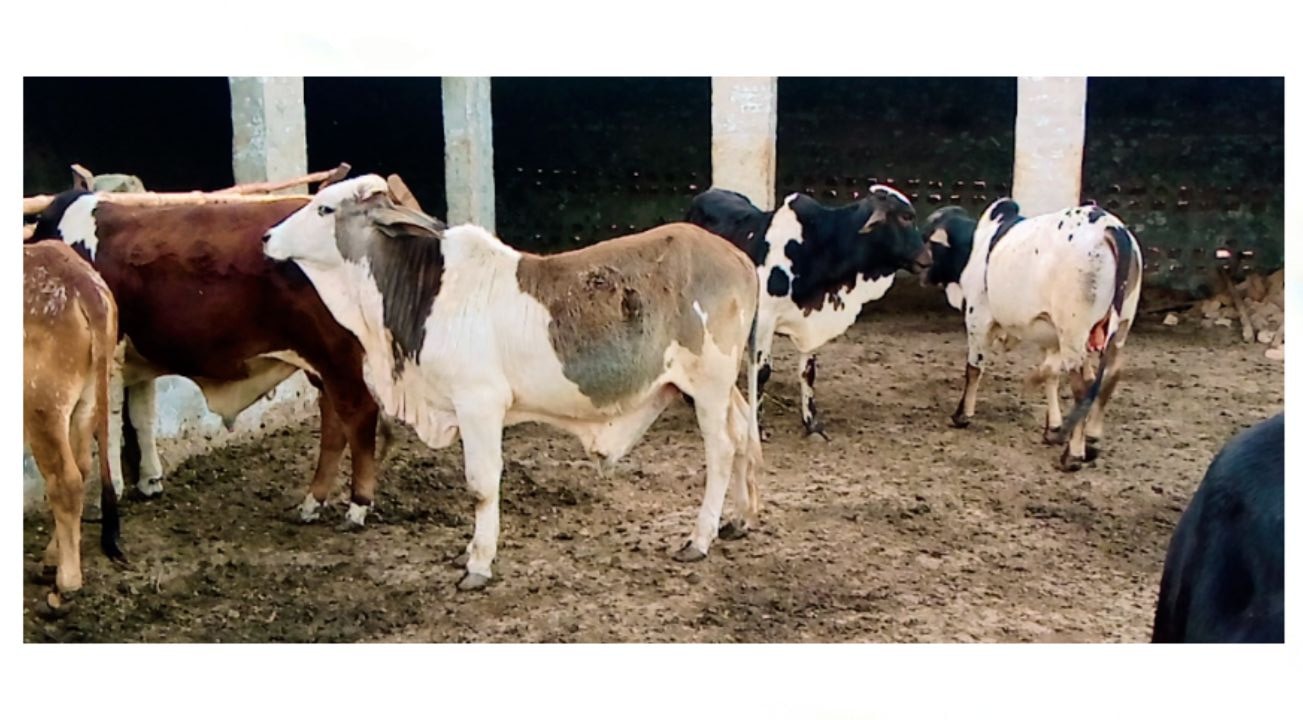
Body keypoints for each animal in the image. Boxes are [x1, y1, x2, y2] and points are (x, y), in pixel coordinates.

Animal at [24, 241, 127, 611]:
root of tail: (83, 286)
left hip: (43, 406)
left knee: (65, 480)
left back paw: (66, 582)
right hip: (85, 401)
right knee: (81, 468)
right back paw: (52, 560)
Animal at [30, 188, 395, 530]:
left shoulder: (110, 360)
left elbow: (109, 425)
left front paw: (104, 500)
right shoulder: (136, 360)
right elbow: (142, 417)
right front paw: (149, 481)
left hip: (337, 356)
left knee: (359, 414)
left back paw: (358, 505)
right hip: (322, 361)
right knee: (335, 422)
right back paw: (312, 503)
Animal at [263, 175, 763, 591]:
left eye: (325, 209)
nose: (267, 237)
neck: (427, 294)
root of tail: (738, 258)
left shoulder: (479, 404)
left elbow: (481, 484)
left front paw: (478, 564)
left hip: (708, 383)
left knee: (721, 448)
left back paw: (700, 538)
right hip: (719, 386)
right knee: (742, 432)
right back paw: (740, 519)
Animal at [686, 185, 930, 437]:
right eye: (905, 217)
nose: (927, 259)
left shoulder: (811, 319)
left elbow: (808, 372)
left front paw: (812, 423)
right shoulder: (764, 319)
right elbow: (762, 372)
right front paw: (757, 425)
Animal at [920, 199, 1142, 470]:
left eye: (927, 239)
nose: (921, 269)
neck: (977, 245)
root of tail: (1112, 228)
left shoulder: (977, 317)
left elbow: (973, 369)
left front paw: (962, 415)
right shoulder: (1052, 337)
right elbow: (1050, 375)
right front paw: (1053, 428)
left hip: (1074, 331)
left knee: (1083, 386)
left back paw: (1073, 455)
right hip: (1119, 327)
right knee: (1111, 375)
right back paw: (1091, 439)